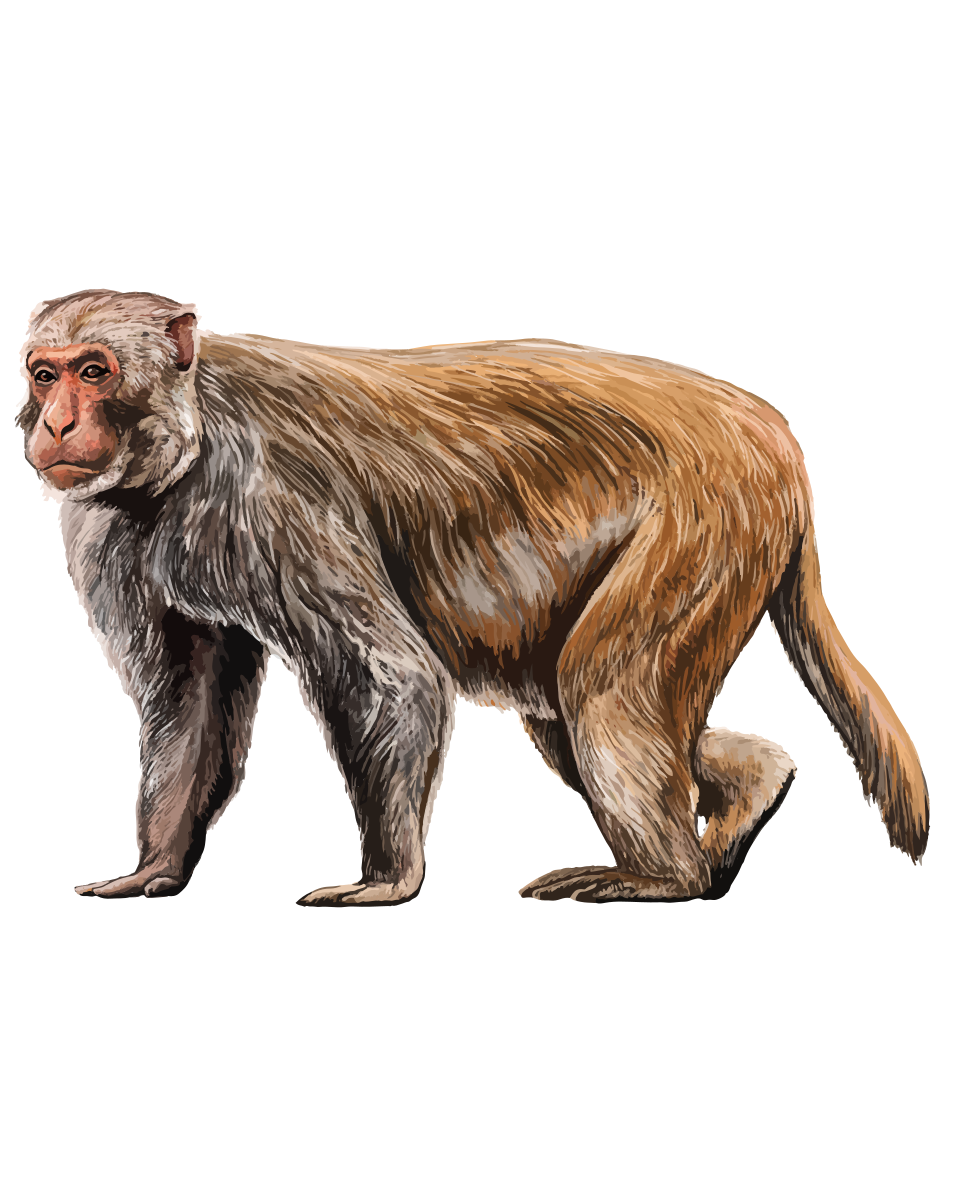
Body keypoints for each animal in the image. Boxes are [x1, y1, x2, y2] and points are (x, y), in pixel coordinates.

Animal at [17, 290, 929, 904]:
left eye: (95, 371)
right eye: (44, 373)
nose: (55, 423)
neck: (182, 448)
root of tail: (770, 430)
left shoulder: (271, 496)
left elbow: (390, 675)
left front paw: (386, 880)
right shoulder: (110, 529)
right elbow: (189, 694)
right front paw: (157, 866)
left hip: (711, 520)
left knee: (600, 691)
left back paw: (665, 877)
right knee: (565, 715)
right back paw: (747, 792)